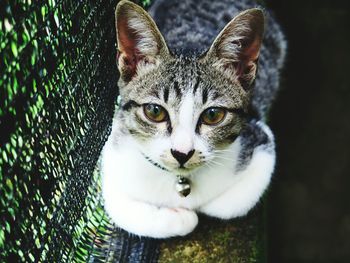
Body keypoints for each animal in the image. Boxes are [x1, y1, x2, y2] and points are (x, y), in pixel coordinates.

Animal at [100, 0, 284, 239]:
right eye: (154, 111)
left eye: (213, 115)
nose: (182, 153)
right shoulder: (114, 151)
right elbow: (120, 208)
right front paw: (180, 218)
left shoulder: (261, 137)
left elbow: (226, 206)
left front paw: (194, 212)